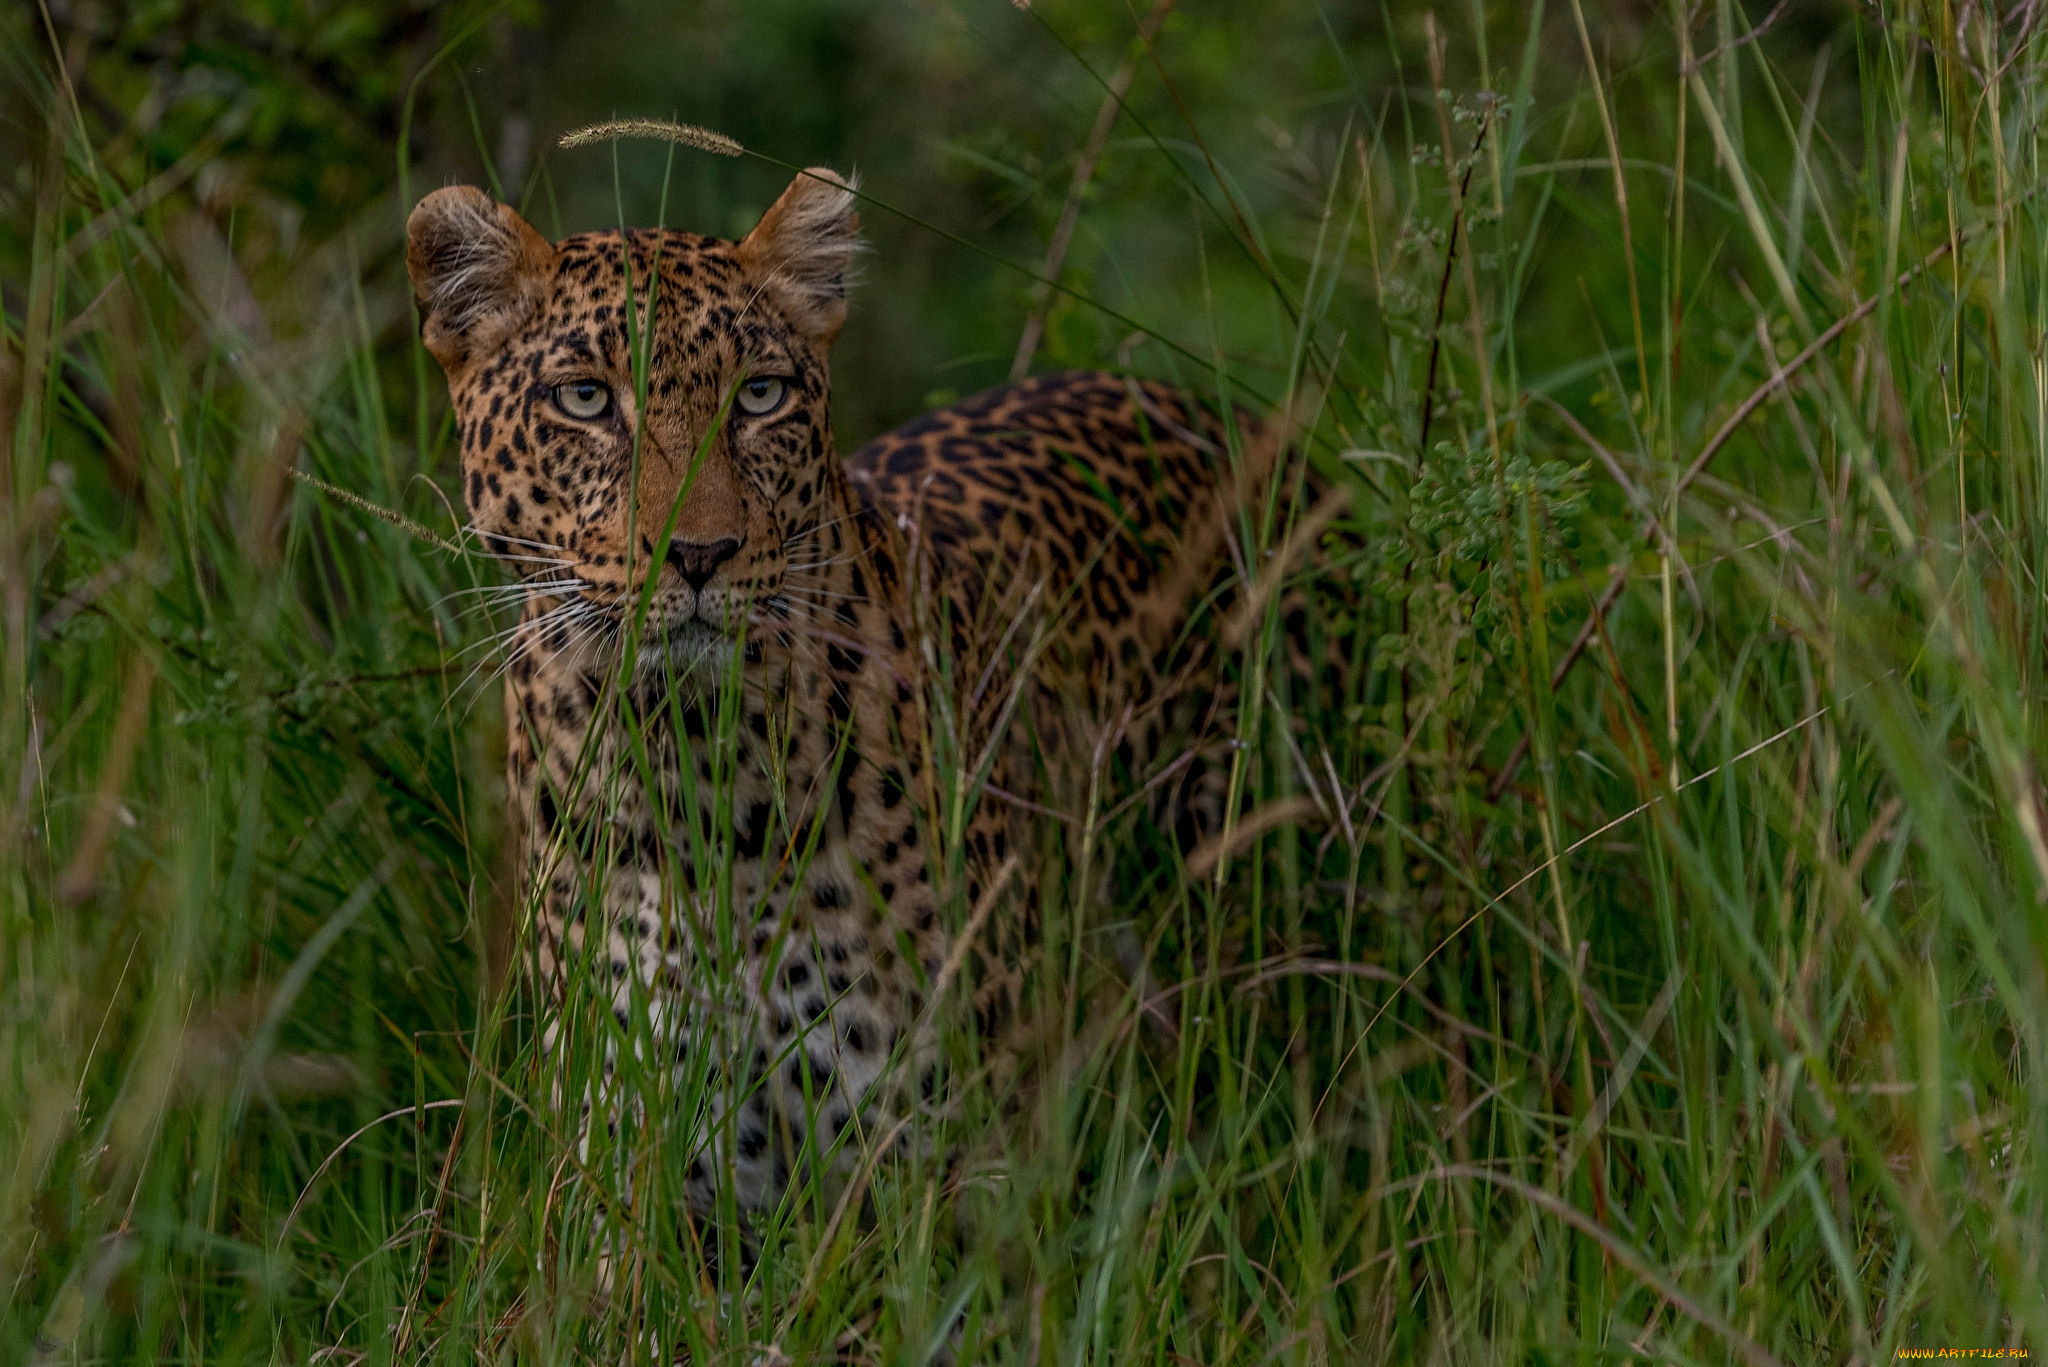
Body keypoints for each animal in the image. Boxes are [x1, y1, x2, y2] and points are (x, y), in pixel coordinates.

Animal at [403, 166, 1277, 1246]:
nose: (699, 555)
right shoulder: (637, 1161)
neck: (693, 765)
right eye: (585, 399)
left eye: (760, 395)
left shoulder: (934, 1154)